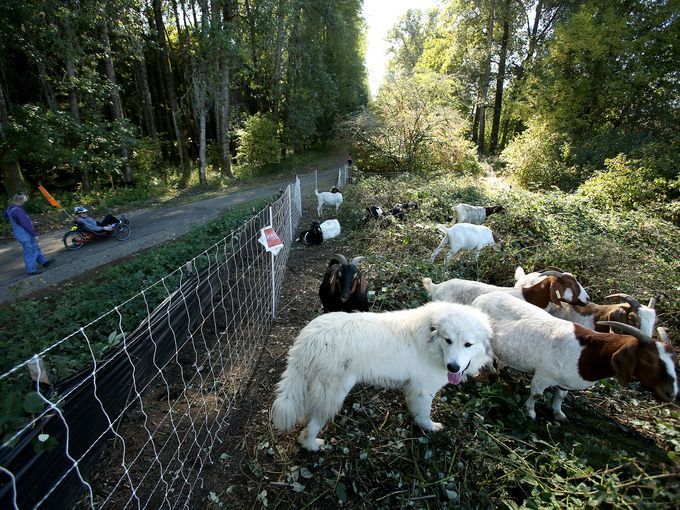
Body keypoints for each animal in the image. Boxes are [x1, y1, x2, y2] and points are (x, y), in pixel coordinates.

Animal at [472, 291, 677, 421]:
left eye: (674, 361)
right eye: (648, 359)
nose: (672, 393)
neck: (587, 351)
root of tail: (480, 299)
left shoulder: (566, 379)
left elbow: (561, 396)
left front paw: (558, 413)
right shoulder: (543, 375)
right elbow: (536, 394)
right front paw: (530, 413)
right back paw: (491, 372)